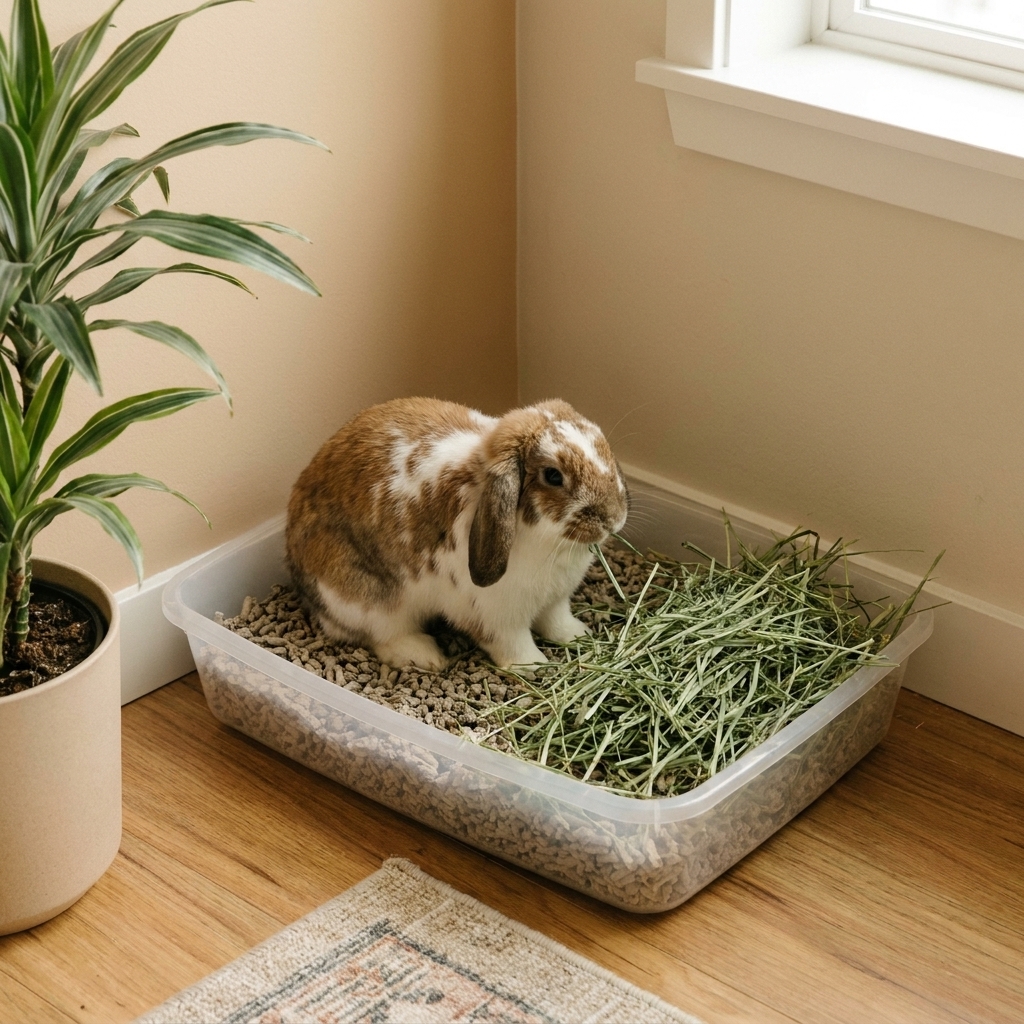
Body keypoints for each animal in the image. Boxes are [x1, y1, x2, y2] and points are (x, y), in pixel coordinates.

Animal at [285, 397, 629, 670]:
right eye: (553, 476)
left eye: (604, 446)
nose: (613, 519)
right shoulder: (498, 618)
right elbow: (514, 644)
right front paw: (534, 667)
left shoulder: (555, 600)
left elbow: (558, 622)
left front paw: (579, 635)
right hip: (371, 603)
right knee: (381, 636)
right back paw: (427, 657)